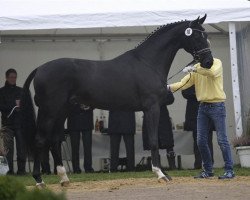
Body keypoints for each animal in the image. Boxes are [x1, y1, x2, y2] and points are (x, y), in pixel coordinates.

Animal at [21, 14, 213, 187]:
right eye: (197, 36)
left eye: (206, 35)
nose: (208, 62)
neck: (147, 62)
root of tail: (40, 68)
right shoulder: (152, 108)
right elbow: (153, 141)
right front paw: (160, 174)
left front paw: (163, 173)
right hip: (49, 111)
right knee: (40, 140)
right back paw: (39, 180)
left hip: (62, 111)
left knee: (54, 140)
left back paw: (64, 179)